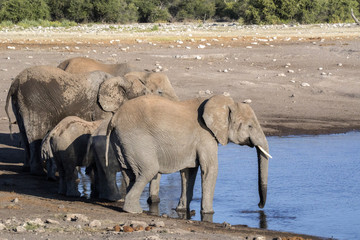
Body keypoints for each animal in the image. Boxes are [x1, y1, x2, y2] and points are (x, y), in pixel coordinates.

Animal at [4, 65, 176, 174]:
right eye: (143, 94)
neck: (119, 79)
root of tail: (15, 82)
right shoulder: (100, 108)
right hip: (34, 101)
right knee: (35, 134)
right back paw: (39, 172)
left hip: (20, 102)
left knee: (24, 133)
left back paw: (27, 169)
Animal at [105, 94, 272, 215]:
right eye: (250, 126)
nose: (259, 205)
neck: (224, 103)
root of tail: (114, 118)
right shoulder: (205, 135)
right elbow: (210, 169)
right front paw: (209, 213)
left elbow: (188, 171)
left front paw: (181, 210)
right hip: (136, 139)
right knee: (148, 170)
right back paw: (134, 211)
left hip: (121, 142)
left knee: (129, 173)